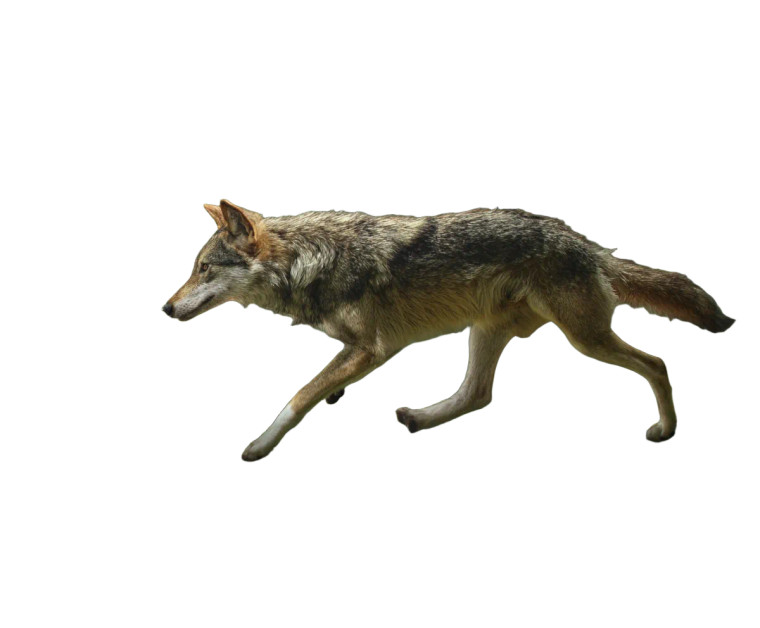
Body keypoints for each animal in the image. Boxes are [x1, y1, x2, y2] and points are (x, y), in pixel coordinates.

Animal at [163, 200, 734, 461]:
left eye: (204, 269)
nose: (165, 309)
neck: (311, 263)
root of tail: (590, 246)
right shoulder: (358, 349)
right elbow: (323, 383)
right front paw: (336, 394)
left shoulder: (375, 348)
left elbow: (298, 397)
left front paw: (260, 444)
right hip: (485, 332)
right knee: (478, 395)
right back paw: (419, 418)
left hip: (583, 339)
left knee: (657, 363)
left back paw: (666, 429)